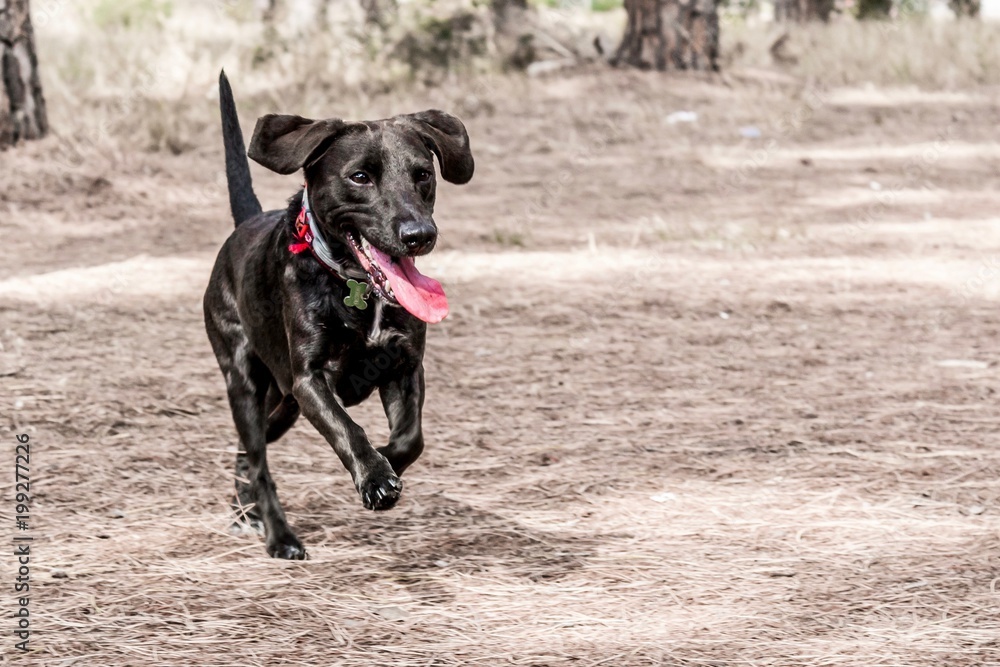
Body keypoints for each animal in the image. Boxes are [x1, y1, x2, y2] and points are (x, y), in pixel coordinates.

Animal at [203, 72, 472, 560]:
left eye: (423, 175)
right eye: (360, 177)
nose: (419, 235)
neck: (356, 289)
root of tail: (243, 225)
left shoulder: (405, 367)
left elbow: (411, 438)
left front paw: (387, 461)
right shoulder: (309, 379)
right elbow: (347, 427)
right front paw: (375, 476)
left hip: (281, 404)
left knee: (247, 454)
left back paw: (244, 511)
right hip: (245, 383)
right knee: (259, 461)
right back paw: (280, 537)